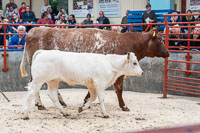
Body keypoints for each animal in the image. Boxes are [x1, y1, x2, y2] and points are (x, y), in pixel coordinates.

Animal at [20, 26, 169, 111]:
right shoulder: (118, 74)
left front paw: (86, 103)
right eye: (160, 39)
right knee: (34, 85)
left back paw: (59, 102)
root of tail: (32, 30)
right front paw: (123, 106)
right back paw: (40, 105)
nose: (168, 53)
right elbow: (119, 89)